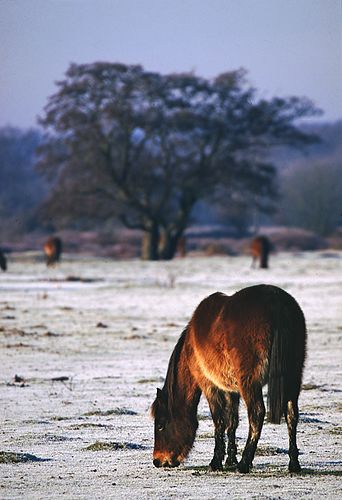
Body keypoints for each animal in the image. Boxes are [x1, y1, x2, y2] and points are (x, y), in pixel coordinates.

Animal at [152, 286, 308, 472]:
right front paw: (230, 459)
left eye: (161, 425)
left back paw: (244, 463)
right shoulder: (231, 389)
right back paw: (293, 463)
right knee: (291, 414)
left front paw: (216, 461)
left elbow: (219, 421)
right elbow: (232, 422)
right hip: (293, 377)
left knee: (257, 414)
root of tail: (276, 301)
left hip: (250, 382)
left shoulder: (210, 385)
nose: (157, 461)